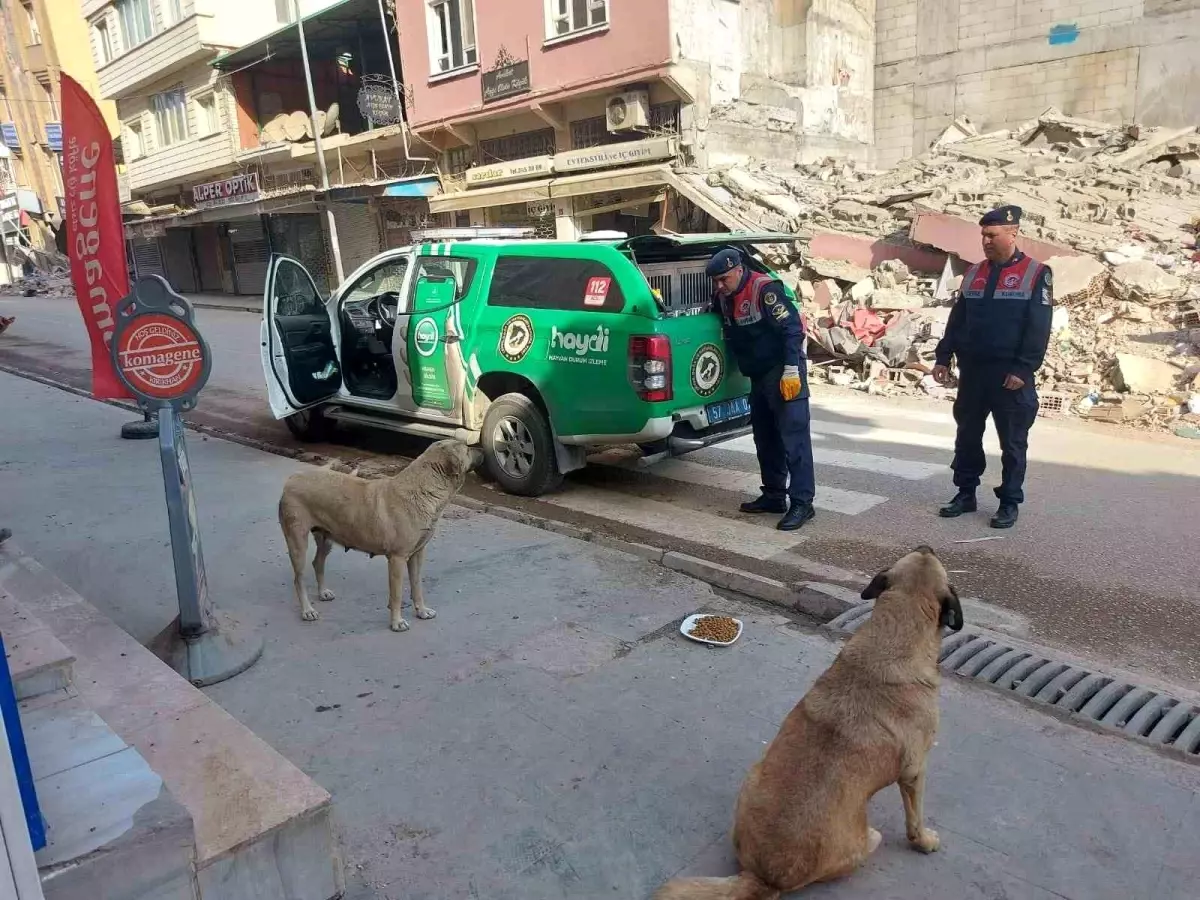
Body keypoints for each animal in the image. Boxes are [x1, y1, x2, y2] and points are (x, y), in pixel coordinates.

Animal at [278, 441, 480, 628]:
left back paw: (322, 592)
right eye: (467, 449)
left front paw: (421, 610)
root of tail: (293, 478)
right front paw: (397, 622)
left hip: (326, 538)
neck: (425, 488)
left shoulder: (417, 554)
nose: (481, 449)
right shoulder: (397, 558)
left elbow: (417, 585)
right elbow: (396, 593)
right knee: (298, 578)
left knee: (317, 562)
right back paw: (307, 610)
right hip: (297, 542)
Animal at [657, 547, 964, 897]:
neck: (892, 637)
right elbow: (915, 818)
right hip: (870, 838)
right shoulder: (915, 771)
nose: (928, 546)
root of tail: (765, 877)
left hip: (753, 775)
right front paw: (923, 841)